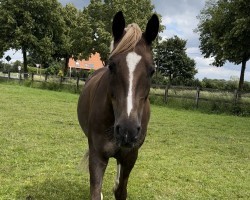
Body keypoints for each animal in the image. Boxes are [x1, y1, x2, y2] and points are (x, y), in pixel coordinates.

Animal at [77, 11, 159, 200]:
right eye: (111, 65)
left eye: (152, 70)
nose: (127, 130)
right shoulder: (97, 155)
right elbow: (95, 191)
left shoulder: (130, 157)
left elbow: (121, 191)